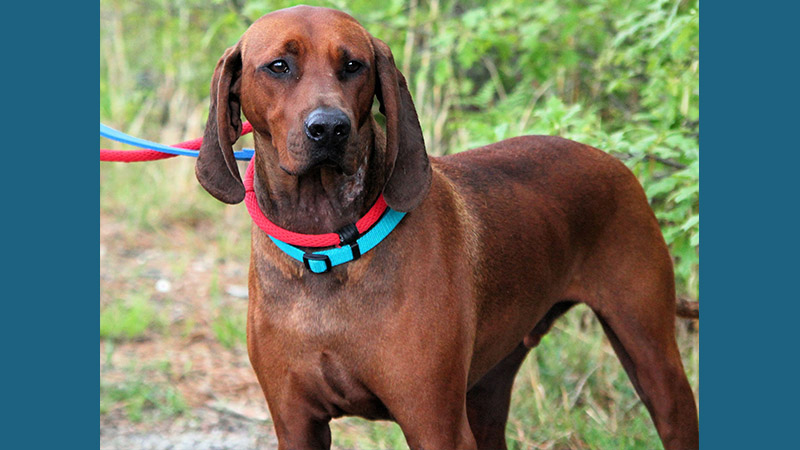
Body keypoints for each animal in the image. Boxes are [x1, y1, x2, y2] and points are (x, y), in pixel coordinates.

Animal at [195, 4, 700, 450]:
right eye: (279, 66)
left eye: (354, 65)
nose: (330, 128)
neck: (328, 250)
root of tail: (615, 162)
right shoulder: (297, 425)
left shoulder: (435, 425)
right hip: (488, 390)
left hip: (653, 362)